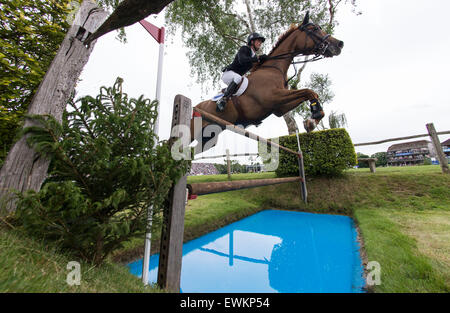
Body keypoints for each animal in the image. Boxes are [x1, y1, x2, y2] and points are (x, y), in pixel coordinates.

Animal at [191, 11, 344, 153]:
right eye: (314, 29)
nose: (339, 44)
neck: (274, 69)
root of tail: (195, 107)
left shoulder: (279, 108)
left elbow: (310, 93)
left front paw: (312, 120)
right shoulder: (273, 98)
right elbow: (308, 91)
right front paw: (313, 118)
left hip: (210, 136)